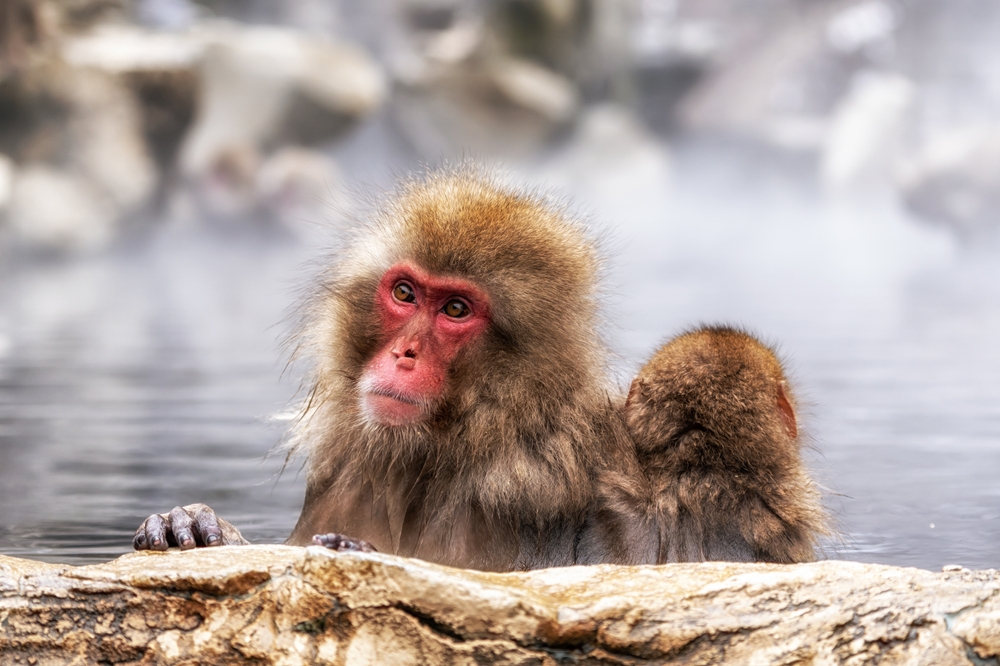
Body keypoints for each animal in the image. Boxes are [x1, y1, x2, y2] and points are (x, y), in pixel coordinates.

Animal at [132, 168, 827, 569]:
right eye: (405, 293)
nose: (404, 354)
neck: (463, 438)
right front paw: (197, 526)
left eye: (457, 310)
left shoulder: (506, 498)